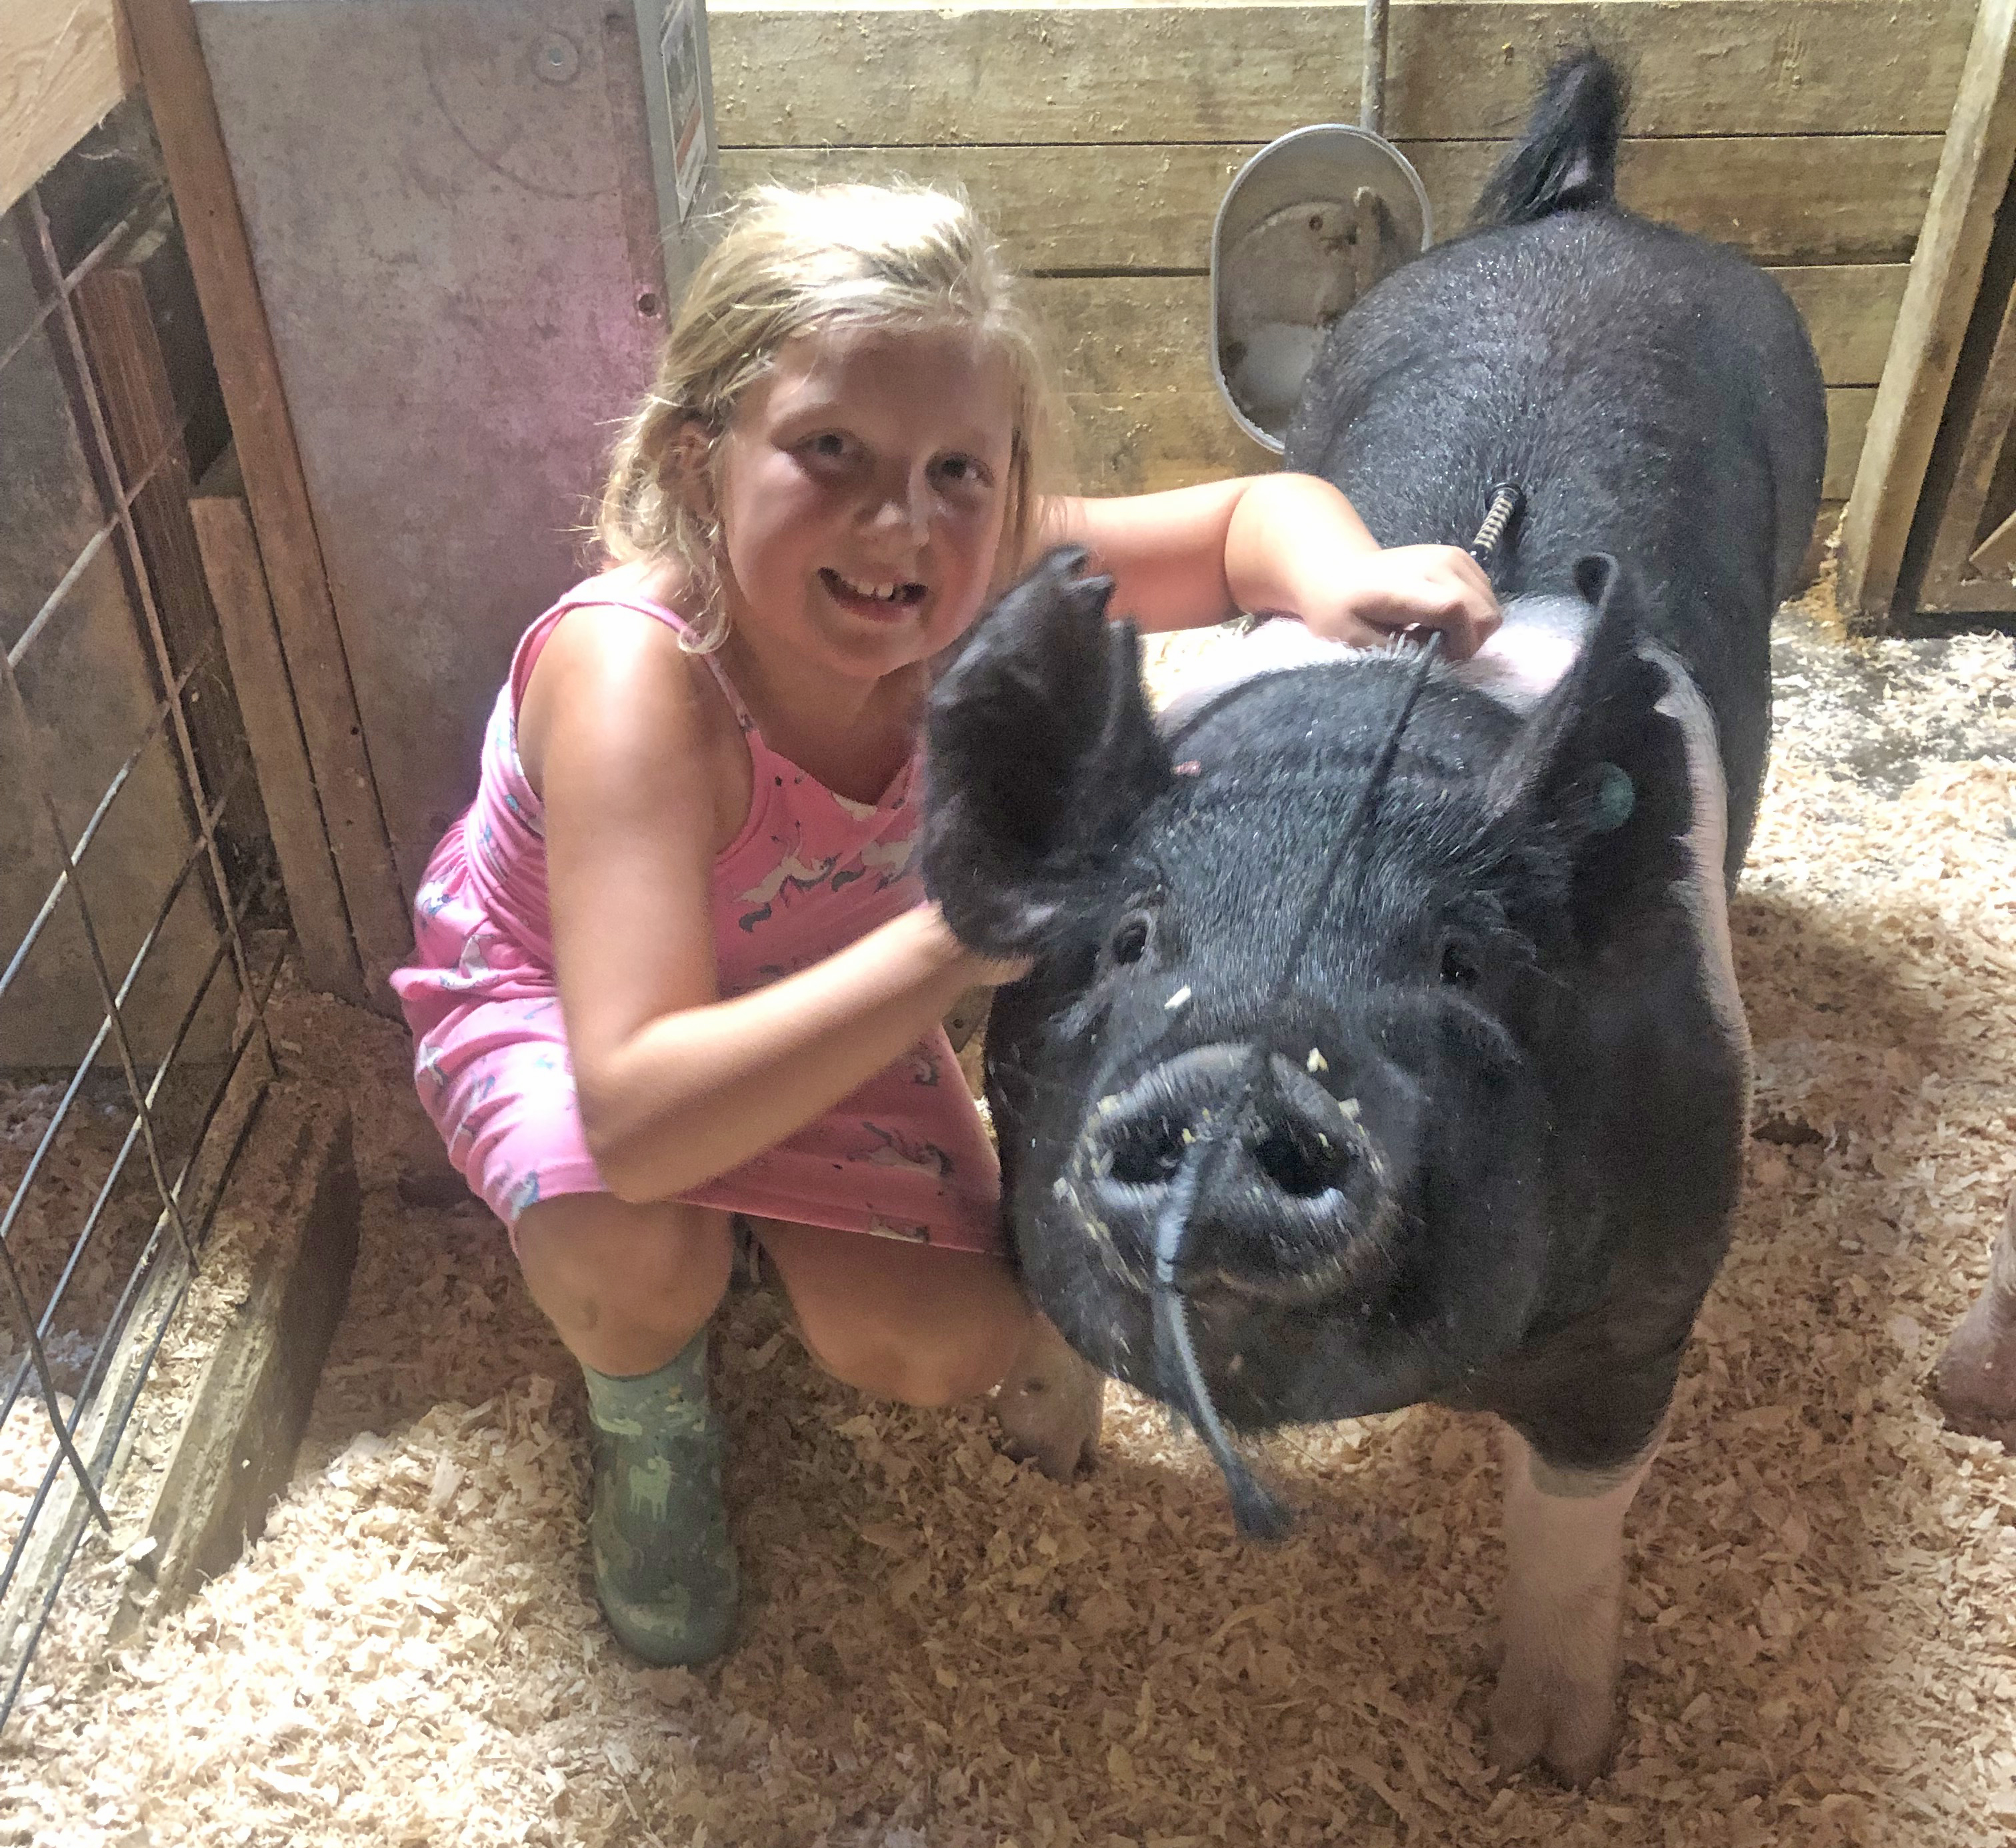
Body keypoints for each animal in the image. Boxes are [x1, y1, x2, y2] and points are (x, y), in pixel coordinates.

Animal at [923, 54, 1830, 1789]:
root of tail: (1594, 211)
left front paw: (1556, 1760)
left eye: (1465, 965)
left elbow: (1572, 1523)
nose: (1237, 1084)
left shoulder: (1653, 1301)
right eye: (1133, 940)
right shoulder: (1018, 1119)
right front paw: (1030, 1455)